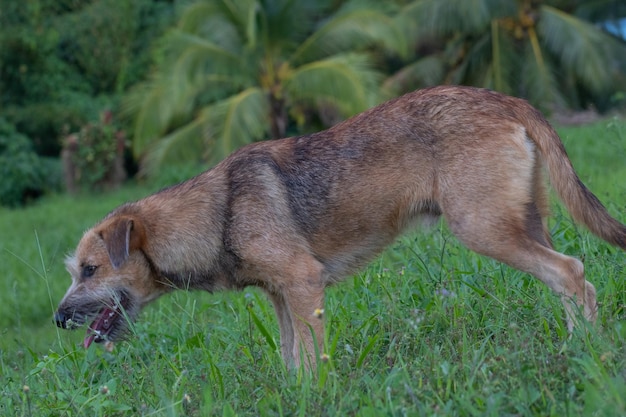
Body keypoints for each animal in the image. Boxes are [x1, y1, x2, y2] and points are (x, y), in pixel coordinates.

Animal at [56, 85, 620, 368]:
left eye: (89, 270)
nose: (59, 319)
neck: (218, 212)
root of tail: (507, 98)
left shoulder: (304, 284)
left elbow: (311, 362)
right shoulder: (282, 295)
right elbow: (292, 360)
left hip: (485, 229)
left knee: (570, 271)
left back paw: (585, 354)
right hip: (525, 224)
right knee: (576, 283)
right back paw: (582, 347)